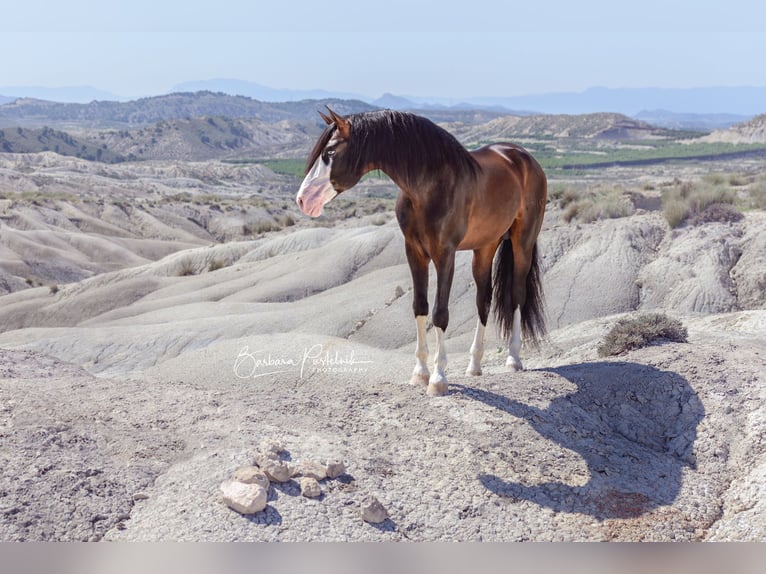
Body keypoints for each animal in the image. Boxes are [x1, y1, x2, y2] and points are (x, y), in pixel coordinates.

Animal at [296, 107, 548, 396]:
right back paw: (474, 365)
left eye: (330, 152)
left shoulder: (445, 254)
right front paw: (420, 373)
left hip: (522, 243)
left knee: (517, 295)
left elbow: (440, 313)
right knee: (484, 299)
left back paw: (513, 359)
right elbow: (420, 307)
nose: (303, 200)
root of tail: (523, 156)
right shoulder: (414, 252)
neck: (429, 186)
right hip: (486, 245)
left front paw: (438, 379)